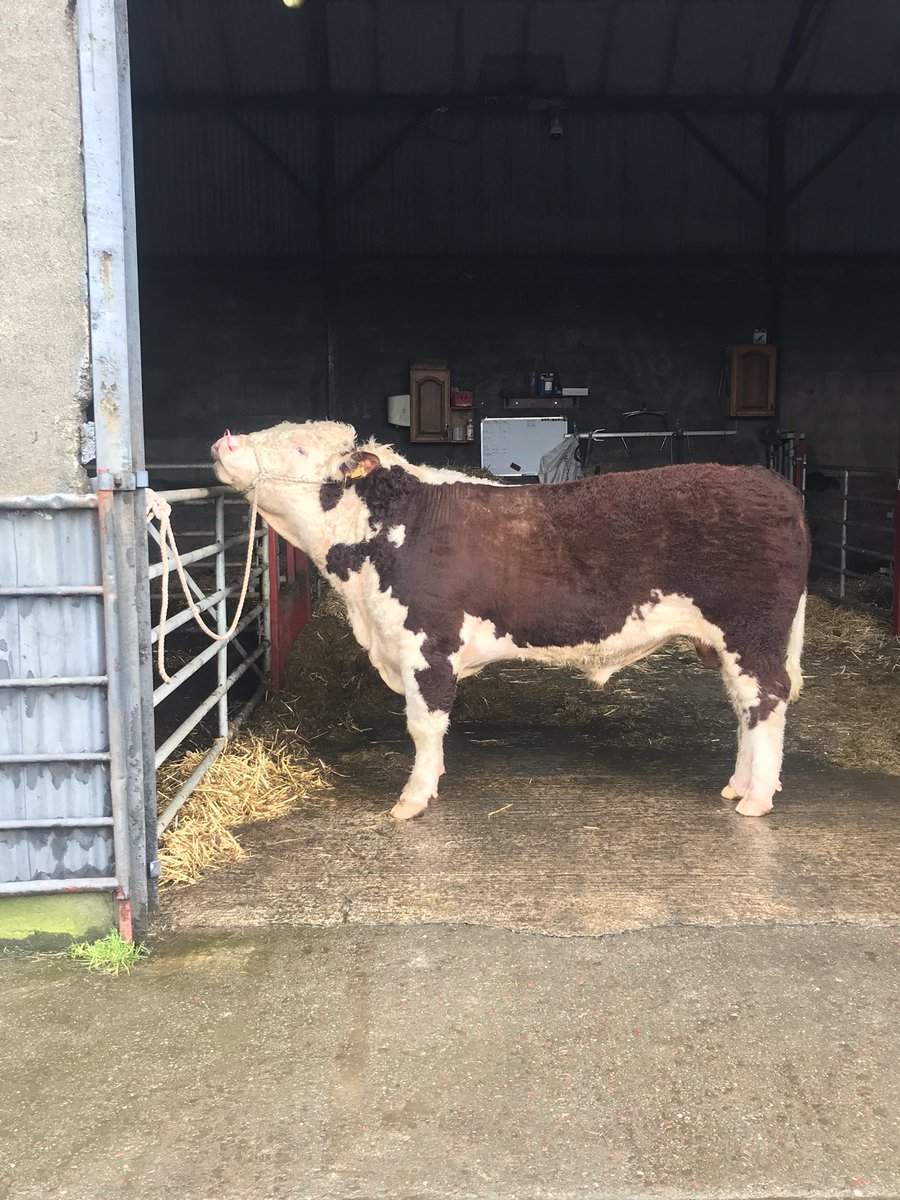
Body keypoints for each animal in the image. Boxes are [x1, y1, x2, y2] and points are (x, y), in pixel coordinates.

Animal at [212, 421, 809, 821]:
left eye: (298, 445)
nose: (225, 440)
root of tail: (769, 482)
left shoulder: (427, 643)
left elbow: (424, 724)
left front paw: (413, 798)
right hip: (730, 643)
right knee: (745, 708)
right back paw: (737, 785)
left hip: (752, 633)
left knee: (766, 701)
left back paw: (757, 798)